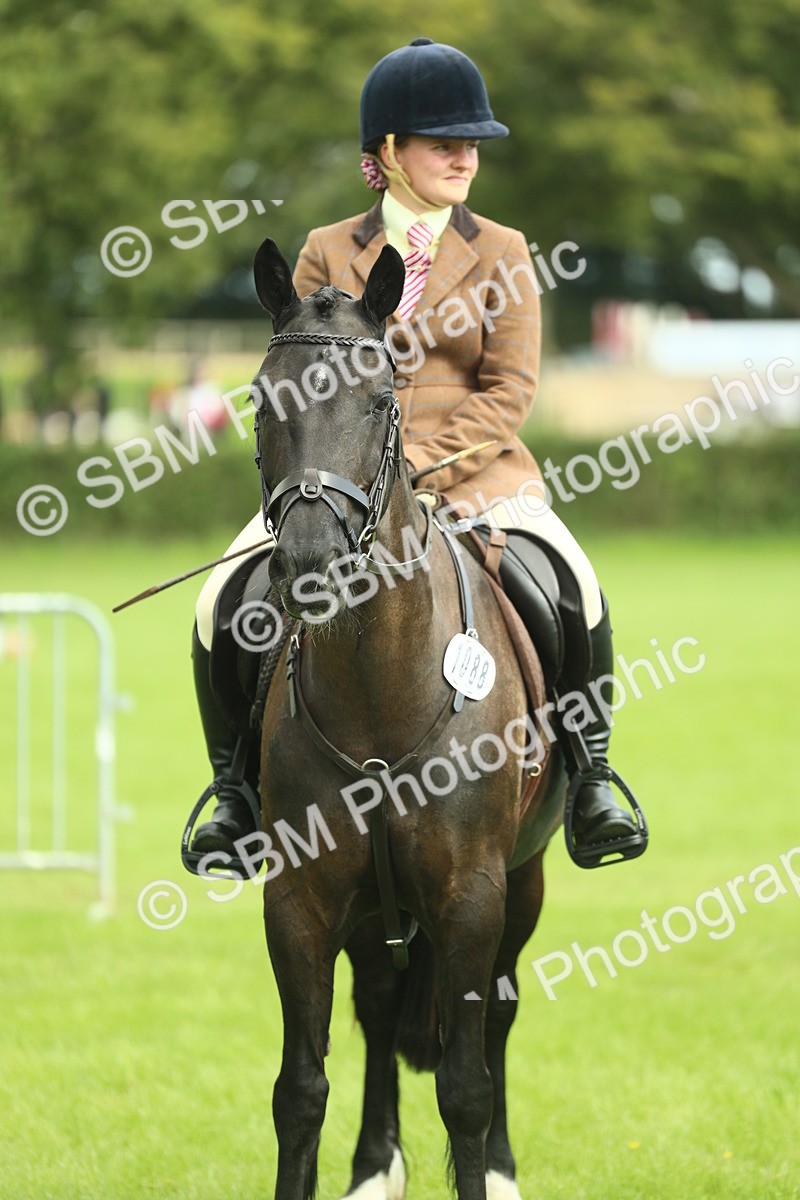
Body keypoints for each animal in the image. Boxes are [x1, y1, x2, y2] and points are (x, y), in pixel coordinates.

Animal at [249, 236, 566, 1200]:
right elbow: (299, 1089)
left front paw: (482, 1162)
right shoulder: (302, 899)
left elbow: (465, 1086)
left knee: (498, 1015)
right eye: (261, 402)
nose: (311, 566)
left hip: (523, 883)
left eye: (381, 402)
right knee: (384, 1008)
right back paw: (373, 1165)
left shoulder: (472, 894)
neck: (378, 683)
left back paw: (501, 1166)